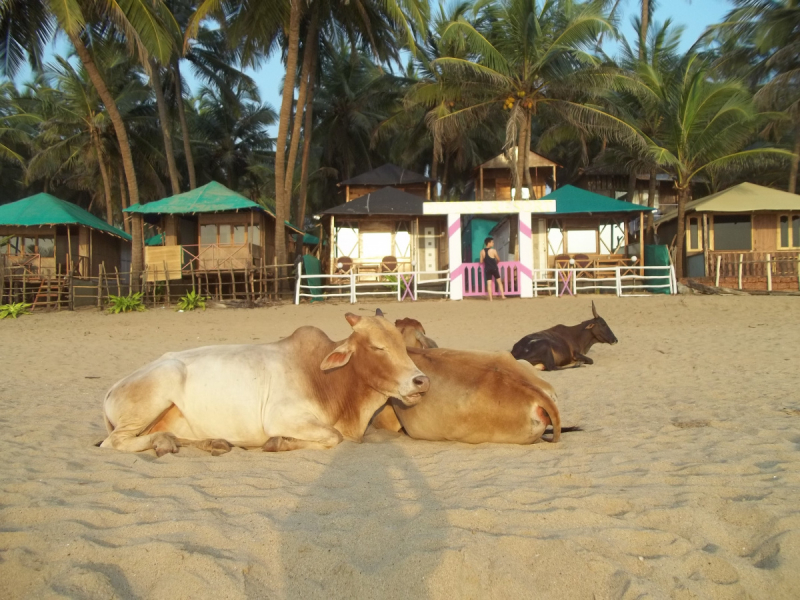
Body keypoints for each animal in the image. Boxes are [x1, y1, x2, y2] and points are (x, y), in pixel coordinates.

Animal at [101, 314, 432, 454]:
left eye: (403, 345)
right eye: (378, 347)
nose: (421, 381)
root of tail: (111, 389)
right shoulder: (283, 417)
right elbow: (332, 437)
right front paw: (278, 443)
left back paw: (210, 442)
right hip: (156, 391)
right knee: (114, 442)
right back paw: (164, 442)